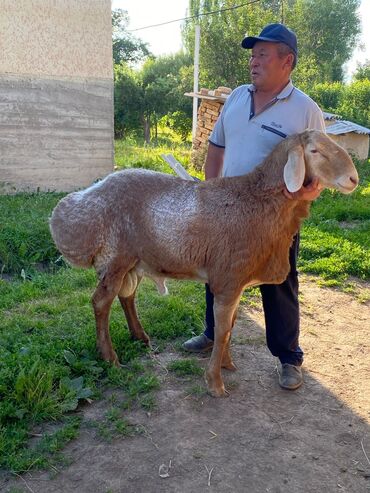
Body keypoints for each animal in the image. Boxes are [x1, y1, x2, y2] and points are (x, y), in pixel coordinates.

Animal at [49, 130, 358, 396]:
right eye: (315, 151)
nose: (354, 179)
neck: (259, 200)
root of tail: (73, 206)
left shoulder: (237, 282)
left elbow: (231, 327)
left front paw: (227, 364)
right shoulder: (228, 279)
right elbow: (221, 332)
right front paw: (215, 383)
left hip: (134, 261)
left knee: (127, 297)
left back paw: (140, 336)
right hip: (116, 257)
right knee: (101, 302)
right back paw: (110, 357)